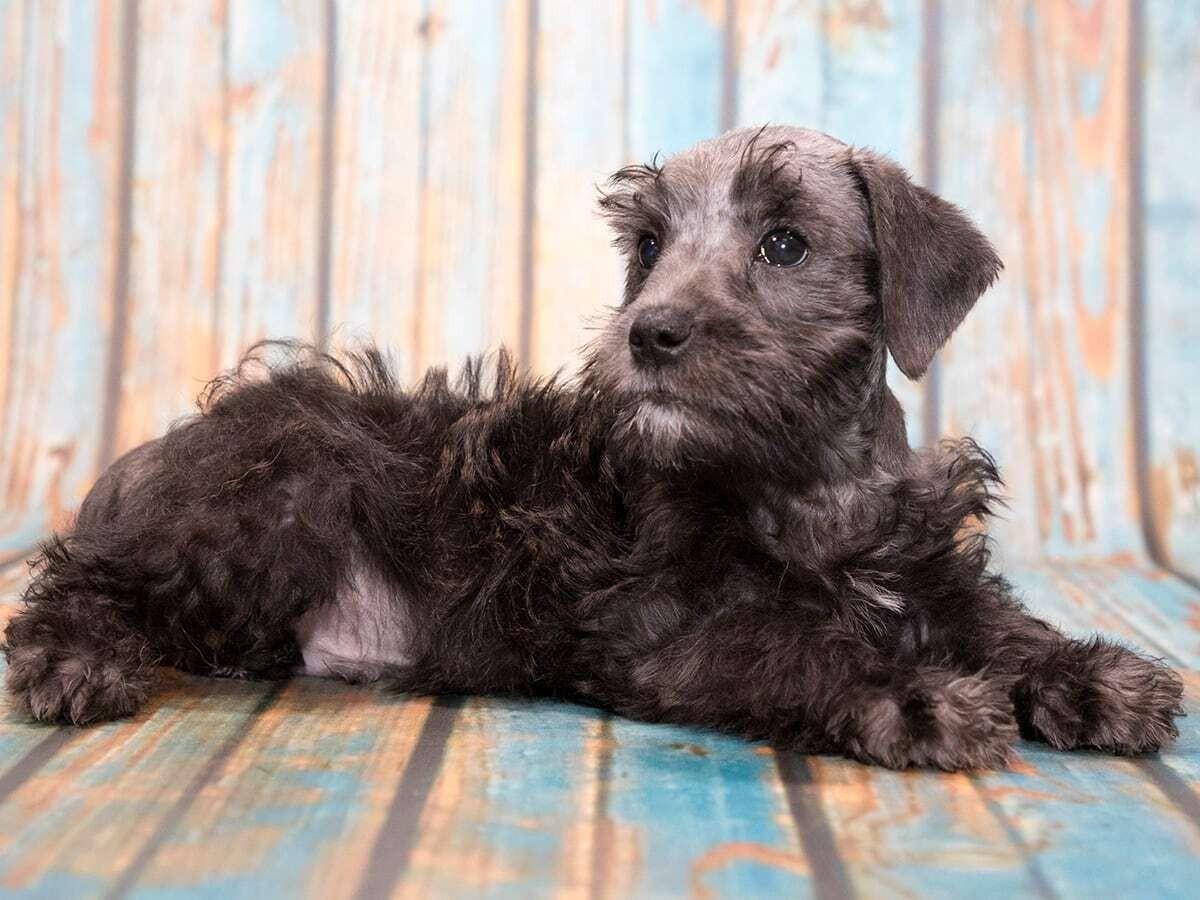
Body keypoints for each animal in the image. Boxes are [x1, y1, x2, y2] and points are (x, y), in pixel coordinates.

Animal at [2, 127, 1180, 772]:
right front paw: (915, 695)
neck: (804, 480)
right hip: (278, 498)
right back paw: (76, 661)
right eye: (649, 246)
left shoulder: (921, 564)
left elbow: (996, 623)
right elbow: (793, 641)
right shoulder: (666, 631)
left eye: (784, 243)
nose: (649, 333)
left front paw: (1094, 674)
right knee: (84, 577)